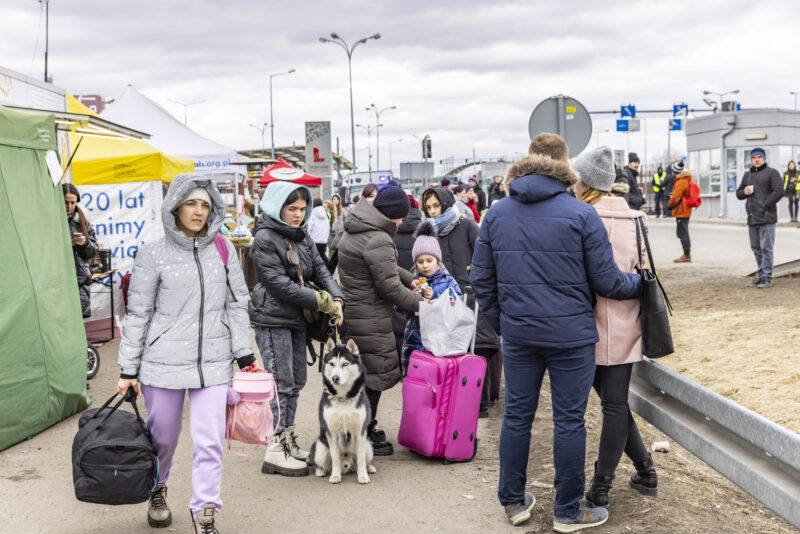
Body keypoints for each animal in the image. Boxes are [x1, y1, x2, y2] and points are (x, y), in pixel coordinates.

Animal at [310, 342, 378, 488]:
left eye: (345, 364)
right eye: (331, 364)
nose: (335, 378)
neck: (343, 399)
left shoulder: (360, 432)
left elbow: (361, 459)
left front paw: (363, 476)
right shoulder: (332, 433)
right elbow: (335, 458)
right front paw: (335, 476)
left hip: (369, 446)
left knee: (364, 459)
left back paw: (370, 468)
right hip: (320, 449)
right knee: (318, 463)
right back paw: (320, 471)